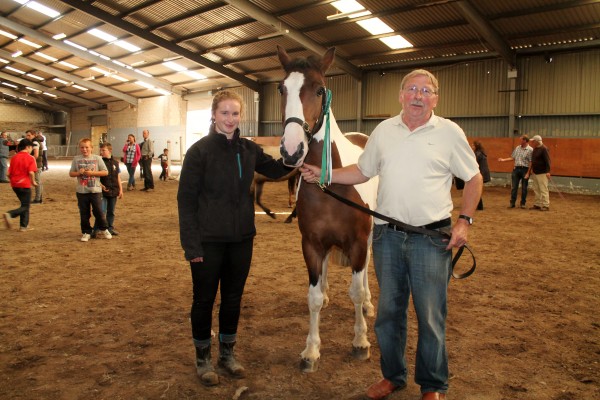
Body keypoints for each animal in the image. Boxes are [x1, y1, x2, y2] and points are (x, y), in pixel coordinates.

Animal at [276, 44, 376, 372]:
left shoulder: (357, 242)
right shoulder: (312, 244)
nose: (291, 150)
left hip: (371, 239)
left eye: (319, 90)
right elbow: (314, 297)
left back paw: (369, 305)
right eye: (282, 88)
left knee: (367, 271)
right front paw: (311, 351)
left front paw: (360, 342)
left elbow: (356, 291)